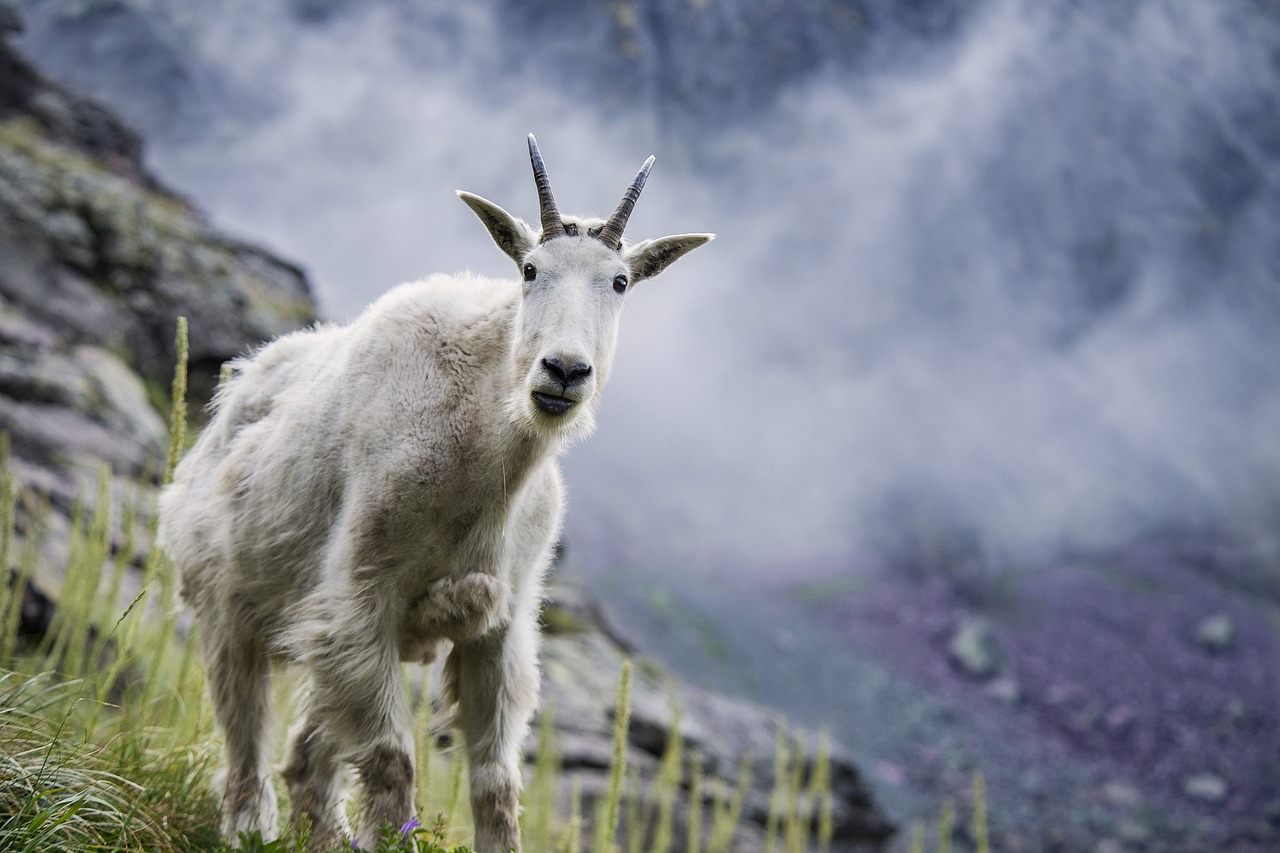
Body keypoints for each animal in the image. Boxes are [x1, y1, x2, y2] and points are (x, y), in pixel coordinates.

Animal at [156, 136, 716, 845]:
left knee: (309, 756)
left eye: (619, 282)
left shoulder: (498, 626)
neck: (483, 461)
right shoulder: (361, 593)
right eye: (529, 270)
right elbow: (393, 762)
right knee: (246, 736)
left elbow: (496, 785)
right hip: (228, 600)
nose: (564, 372)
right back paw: (249, 828)